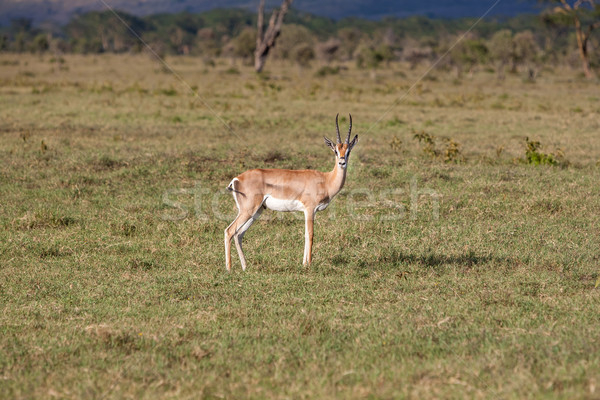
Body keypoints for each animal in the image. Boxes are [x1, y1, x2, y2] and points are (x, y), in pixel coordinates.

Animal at [224, 112, 356, 272]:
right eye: (336, 151)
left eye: (348, 151)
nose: (342, 162)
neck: (326, 180)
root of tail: (237, 178)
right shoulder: (310, 209)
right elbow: (310, 234)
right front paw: (308, 265)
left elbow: (305, 234)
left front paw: (304, 263)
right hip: (248, 210)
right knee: (230, 231)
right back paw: (229, 269)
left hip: (256, 211)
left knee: (239, 234)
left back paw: (245, 267)